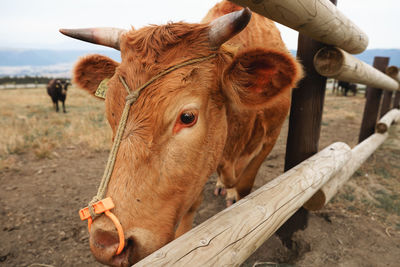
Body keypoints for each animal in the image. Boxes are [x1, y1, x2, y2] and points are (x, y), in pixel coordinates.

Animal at [61, 1, 302, 266]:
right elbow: (192, 203)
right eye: (110, 114)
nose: (106, 243)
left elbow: (245, 187)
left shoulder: (270, 138)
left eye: (187, 117)